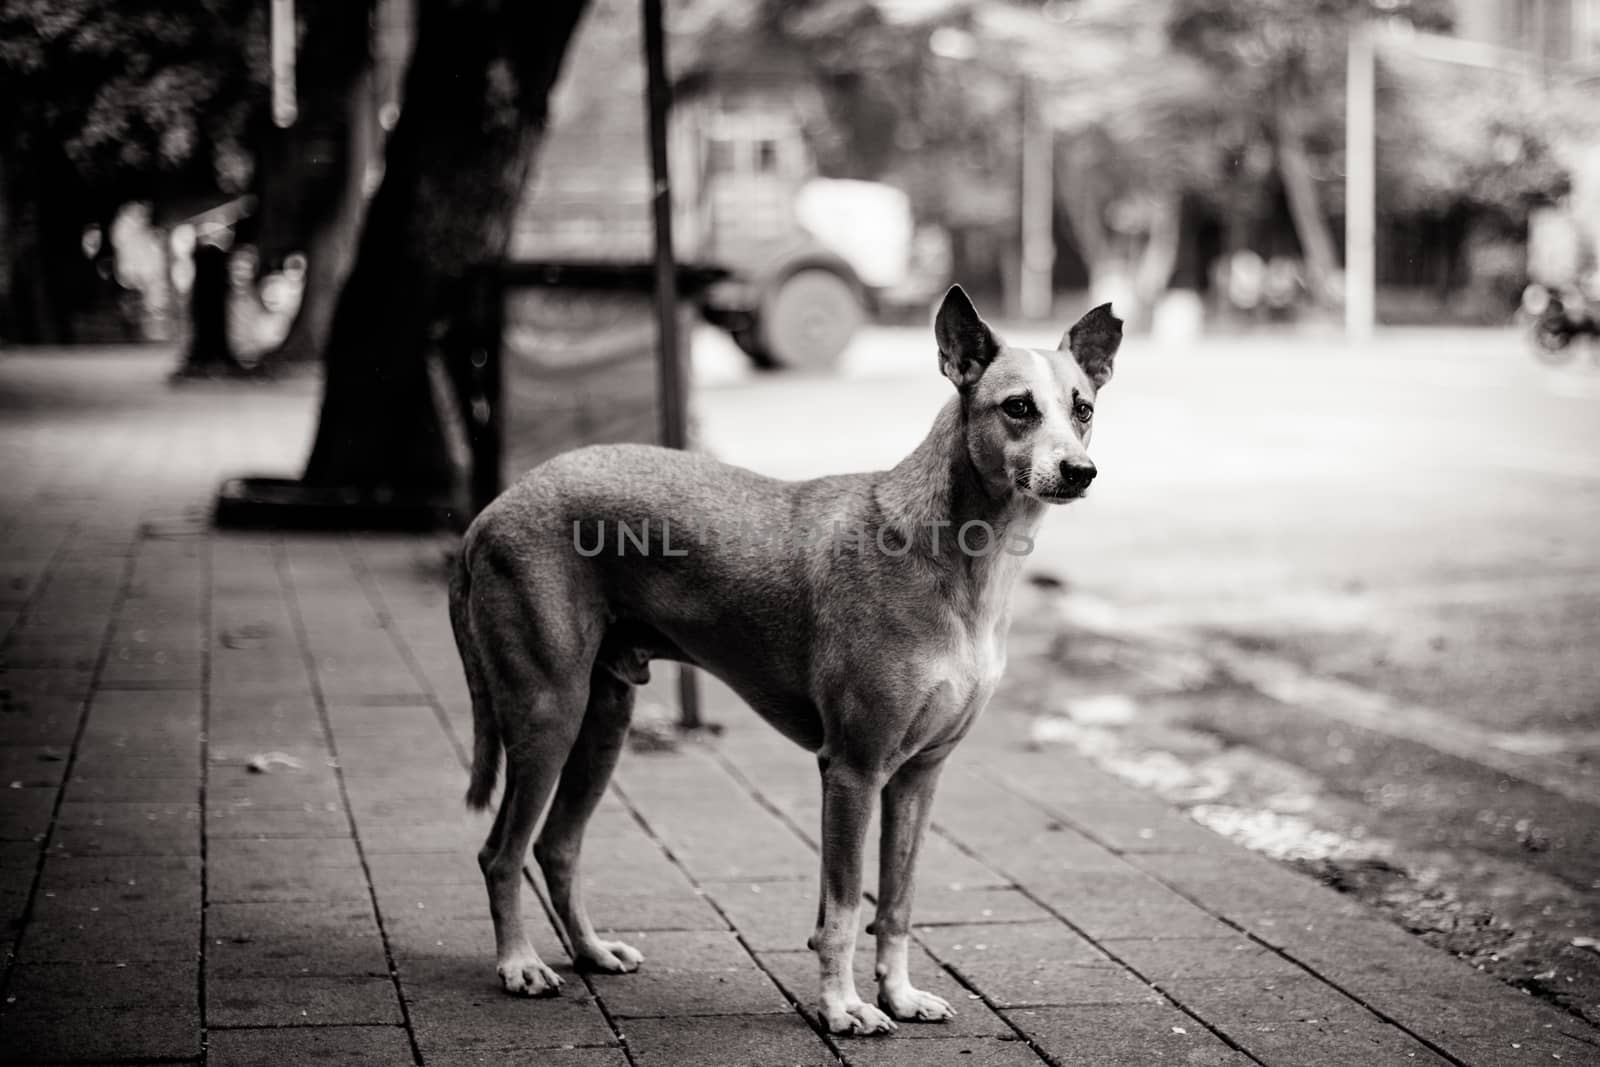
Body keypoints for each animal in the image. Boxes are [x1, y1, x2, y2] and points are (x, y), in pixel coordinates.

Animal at [448, 283, 1126, 1036]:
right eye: (1018, 407)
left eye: (1083, 408)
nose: (1079, 471)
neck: (961, 557)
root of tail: (493, 510)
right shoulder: (852, 769)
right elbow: (843, 912)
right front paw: (843, 1007)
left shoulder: (918, 776)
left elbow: (895, 903)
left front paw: (899, 994)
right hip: (548, 716)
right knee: (501, 852)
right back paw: (518, 964)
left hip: (604, 721)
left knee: (555, 846)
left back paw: (592, 951)